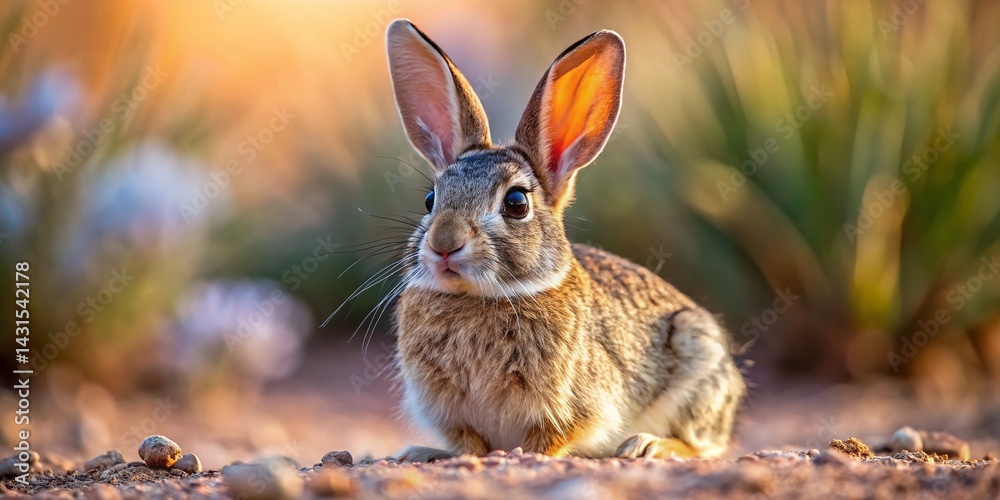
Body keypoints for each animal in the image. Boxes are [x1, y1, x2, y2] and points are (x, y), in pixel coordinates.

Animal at [384, 19, 746, 462]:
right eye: (430, 200)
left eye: (516, 203)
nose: (444, 244)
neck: (482, 297)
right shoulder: (452, 413)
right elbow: (470, 445)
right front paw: (431, 452)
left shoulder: (574, 408)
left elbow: (551, 439)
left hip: (698, 355)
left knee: (703, 443)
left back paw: (646, 446)